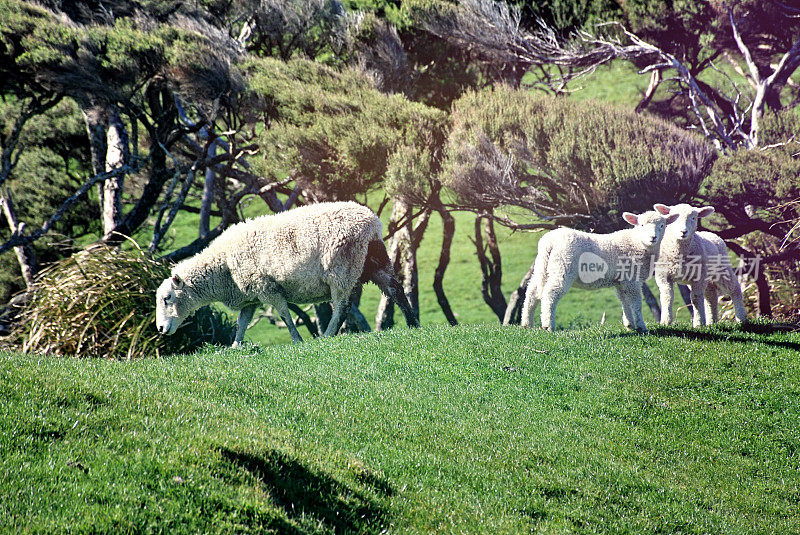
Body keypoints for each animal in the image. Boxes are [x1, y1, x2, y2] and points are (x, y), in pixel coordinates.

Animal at [154, 202, 422, 348]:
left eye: (168, 298)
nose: (160, 328)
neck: (224, 267)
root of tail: (371, 223)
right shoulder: (250, 296)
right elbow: (242, 323)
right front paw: (235, 346)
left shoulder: (267, 287)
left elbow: (284, 314)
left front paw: (297, 340)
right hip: (376, 261)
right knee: (396, 289)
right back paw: (413, 324)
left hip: (340, 268)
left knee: (342, 305)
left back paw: (327, 335)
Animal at [520, 210, 676, 332]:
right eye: (641, 225)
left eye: (662, 225)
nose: (653, 237)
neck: (637, 243)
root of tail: (549, 241)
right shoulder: (631, 279)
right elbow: (636, 302)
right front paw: (641, 326)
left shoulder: (621, 281)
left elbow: (624, 301)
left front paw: (629, 324)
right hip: (563, 267)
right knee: (550, 293)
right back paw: (548, 325)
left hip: (543, 266)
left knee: (532, 292)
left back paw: (527, 323)